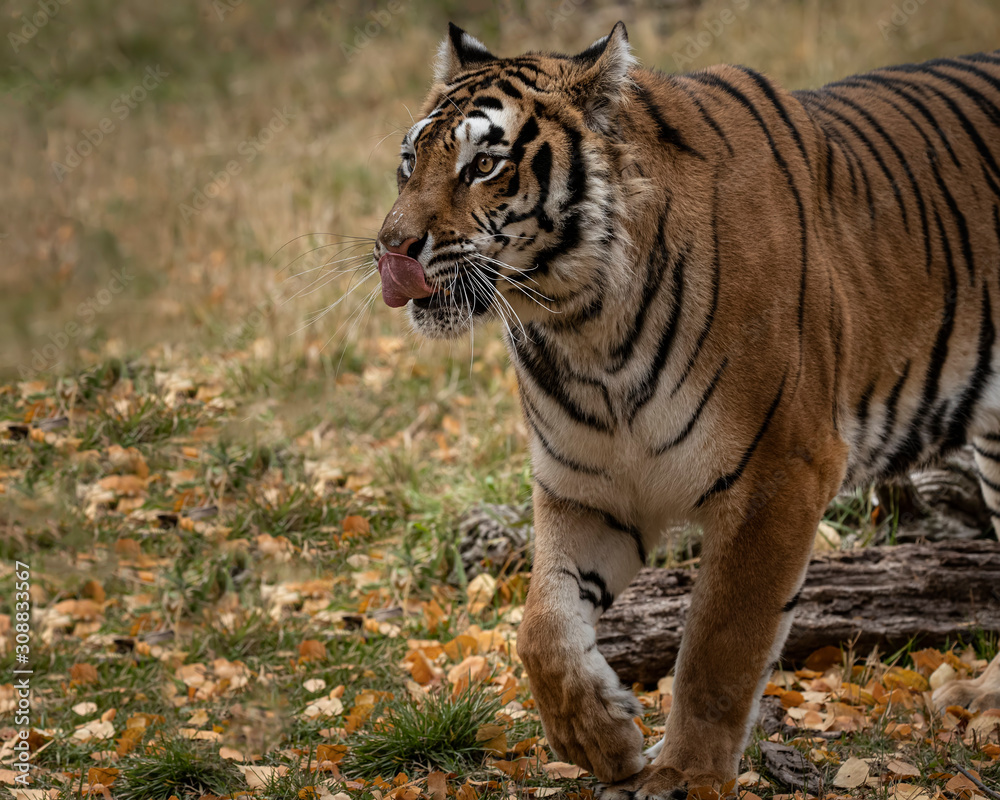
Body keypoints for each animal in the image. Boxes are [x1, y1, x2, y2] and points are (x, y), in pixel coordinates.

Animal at [371, 21, 1000, 796]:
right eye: (409, 163)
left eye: (484, 164)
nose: (389, 248)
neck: (583, 326)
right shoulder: (589, 488)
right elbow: (542, 628)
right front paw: (600, 739)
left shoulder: (781, 473)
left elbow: (718, 645)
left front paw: (684, 774)